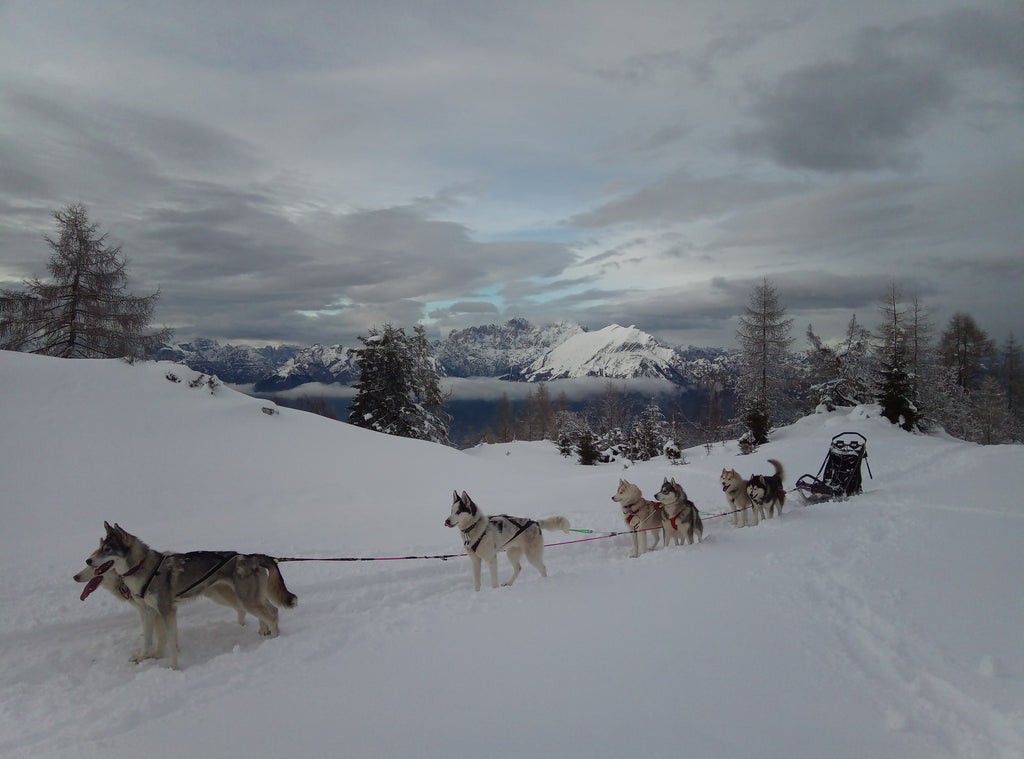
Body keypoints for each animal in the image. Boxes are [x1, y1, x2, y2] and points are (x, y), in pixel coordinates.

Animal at [86, 520, 299, 667]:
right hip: (249, 598)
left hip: (246, 600)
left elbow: (171, 643)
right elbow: (149, 640)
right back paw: (265, 632)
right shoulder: (149, 612)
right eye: (98, 549)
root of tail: (250, 557)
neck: (145, 569)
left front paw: (172, 668)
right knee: (271, 610)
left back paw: (274, 639)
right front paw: (144, 657)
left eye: (107, 549)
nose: (88, 560)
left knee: (272, 615)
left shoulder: (167, 612)